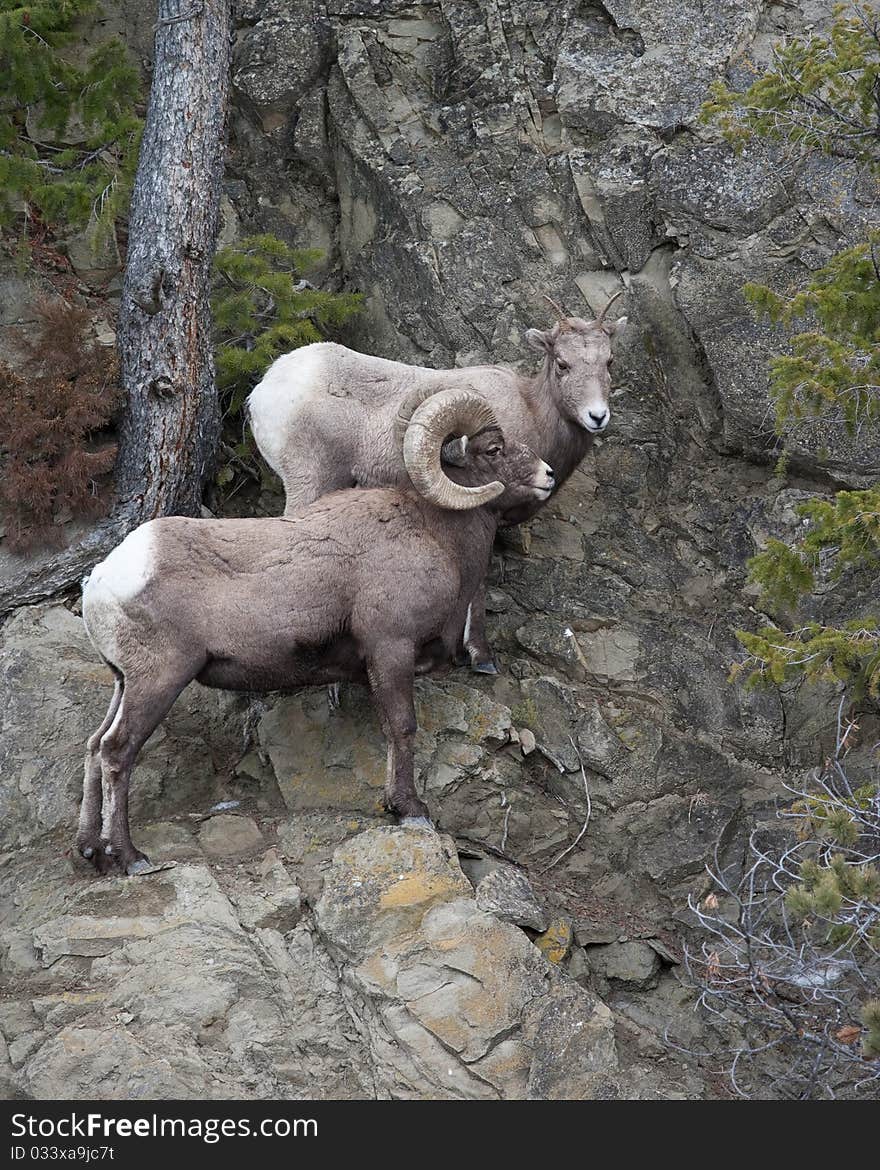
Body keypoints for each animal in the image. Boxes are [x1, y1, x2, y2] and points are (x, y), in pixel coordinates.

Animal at [78, 388, 552, 875]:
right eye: (493, 450)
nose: (548, 476)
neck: (436, 536)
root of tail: (101, 580)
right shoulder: (391, 650)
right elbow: (402, 727)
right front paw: (410, 810)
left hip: (124, 683)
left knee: (94, 748)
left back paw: (91, 850)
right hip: (158, 681)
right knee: (117, 752)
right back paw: (131, 858)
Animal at [244, 297, 622, 673]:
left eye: (609, 361)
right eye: (562, 363)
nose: (597, 417)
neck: (532, 412)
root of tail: (263, 392)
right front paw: (481, 658)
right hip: (310, 484)